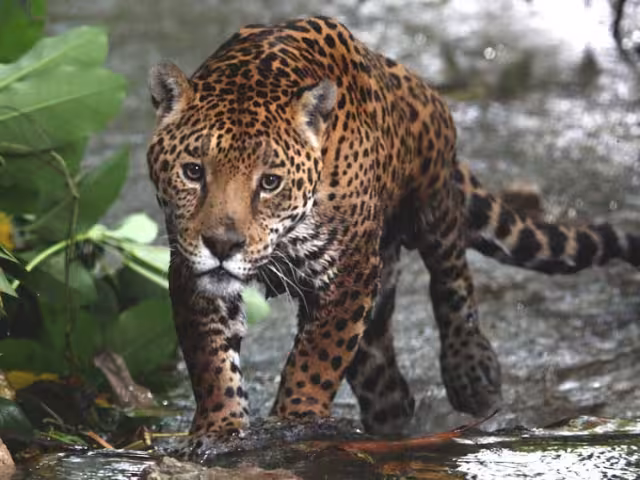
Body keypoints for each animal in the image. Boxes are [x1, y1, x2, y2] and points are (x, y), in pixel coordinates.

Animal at [146, 16, 640, 437]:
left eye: (270, 183)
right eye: (193, 172)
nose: (222, 244)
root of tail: (409, 80)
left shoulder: (349, 271)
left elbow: (317, 355)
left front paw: (295, 418)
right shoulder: (190, 267)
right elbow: (211, 359)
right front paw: (220, 429)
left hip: (433, 203)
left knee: (452, 278)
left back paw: (472, 372)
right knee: (381, 373)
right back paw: (392, 417)